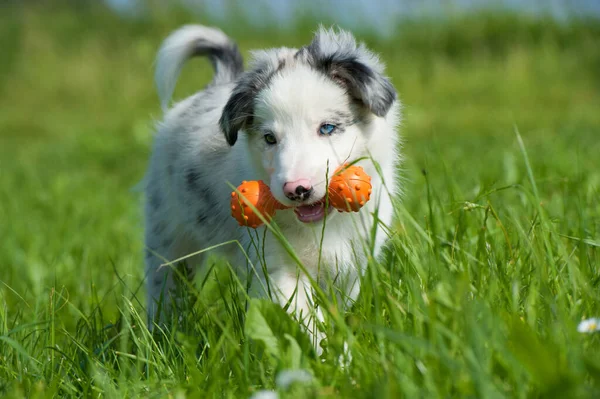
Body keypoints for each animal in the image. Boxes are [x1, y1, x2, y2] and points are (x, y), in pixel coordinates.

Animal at [143, 24, 400, 346]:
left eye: (327, 128)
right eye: (269, 138)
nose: (296, 190)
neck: (319, 227)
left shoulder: (353, 261)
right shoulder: (276, 265)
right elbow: (306, 317)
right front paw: (328, 354)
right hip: (167, 233)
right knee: (164, 286)